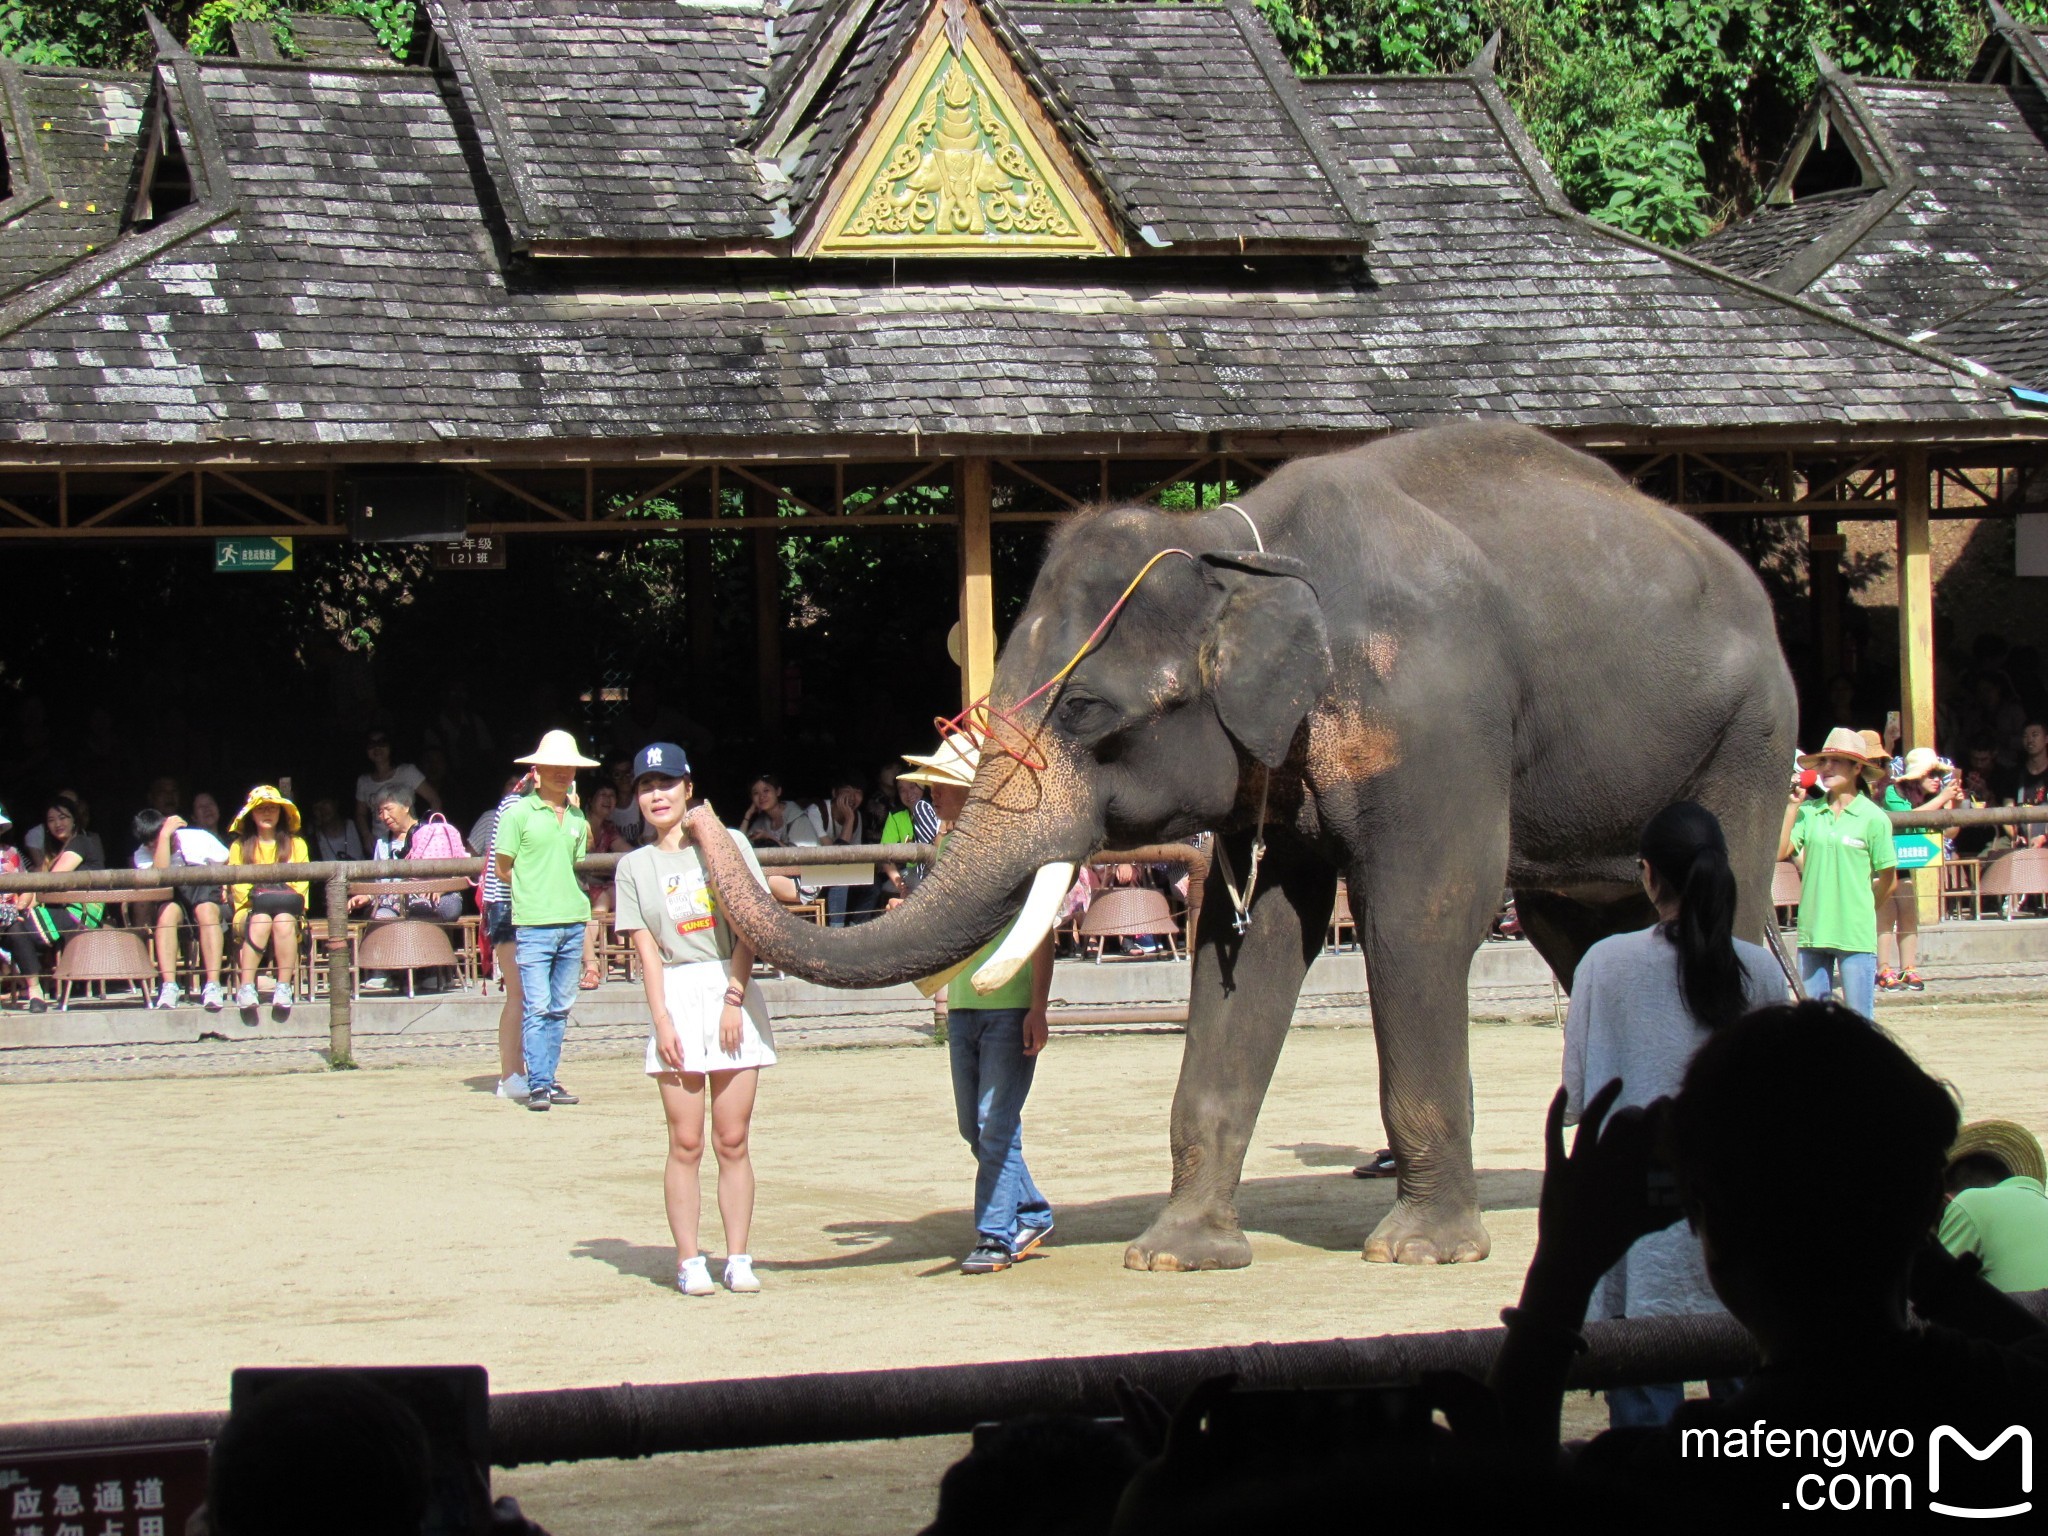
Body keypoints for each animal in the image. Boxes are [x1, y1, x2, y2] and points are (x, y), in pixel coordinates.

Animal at [688, 417, 1794, 1277]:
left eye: (1085, 709)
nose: (697, 809)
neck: (1238, 546)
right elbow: (1244, 940)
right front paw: (1174, 1254)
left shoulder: (1435, 719)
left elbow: (1424, 912)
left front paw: (1420, 1252)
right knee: (1587, 934)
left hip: (1750, 737)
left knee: (1725, 911)